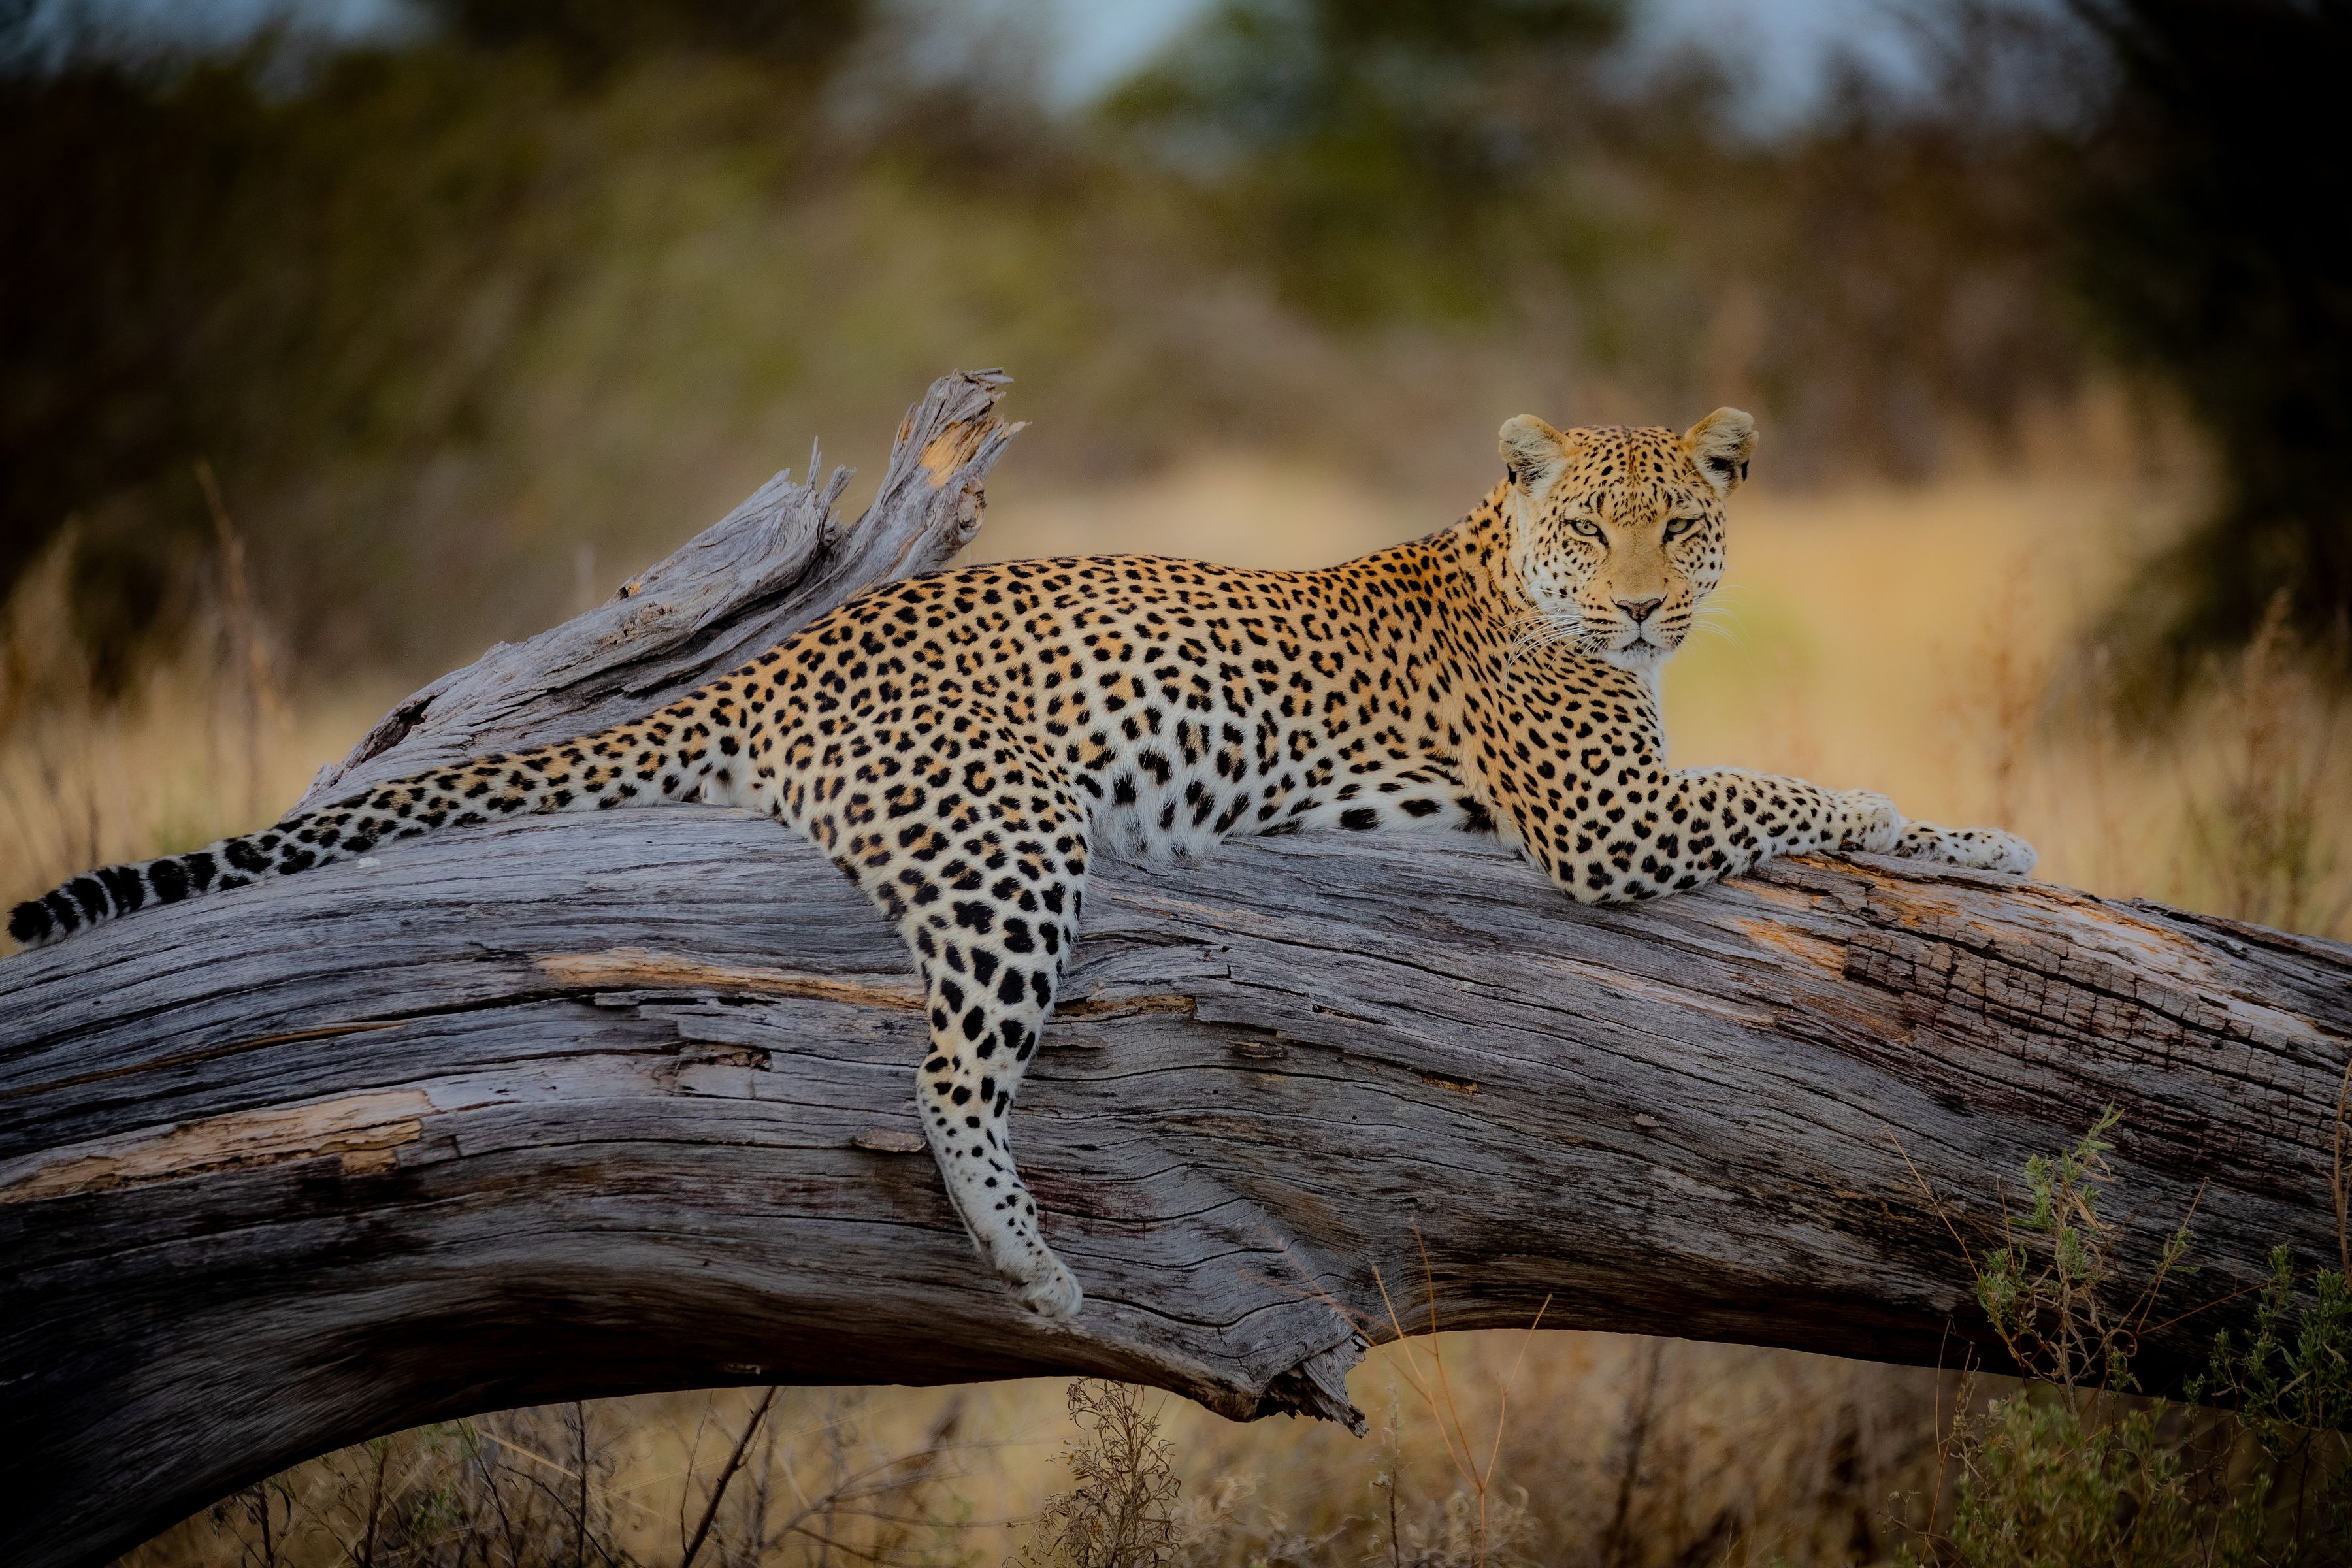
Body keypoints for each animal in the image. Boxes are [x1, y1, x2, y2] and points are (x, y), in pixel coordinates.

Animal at [8, 408, 2034, 1320]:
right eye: (1596, 528)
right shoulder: (1615, 818)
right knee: (942, 1072)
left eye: (1684, 526)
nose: (1635, 605)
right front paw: (1980, 836)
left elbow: (1784, 778)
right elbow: (1802, 788)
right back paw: (1034, 1262)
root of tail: (792, 648)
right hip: (1015, 847)